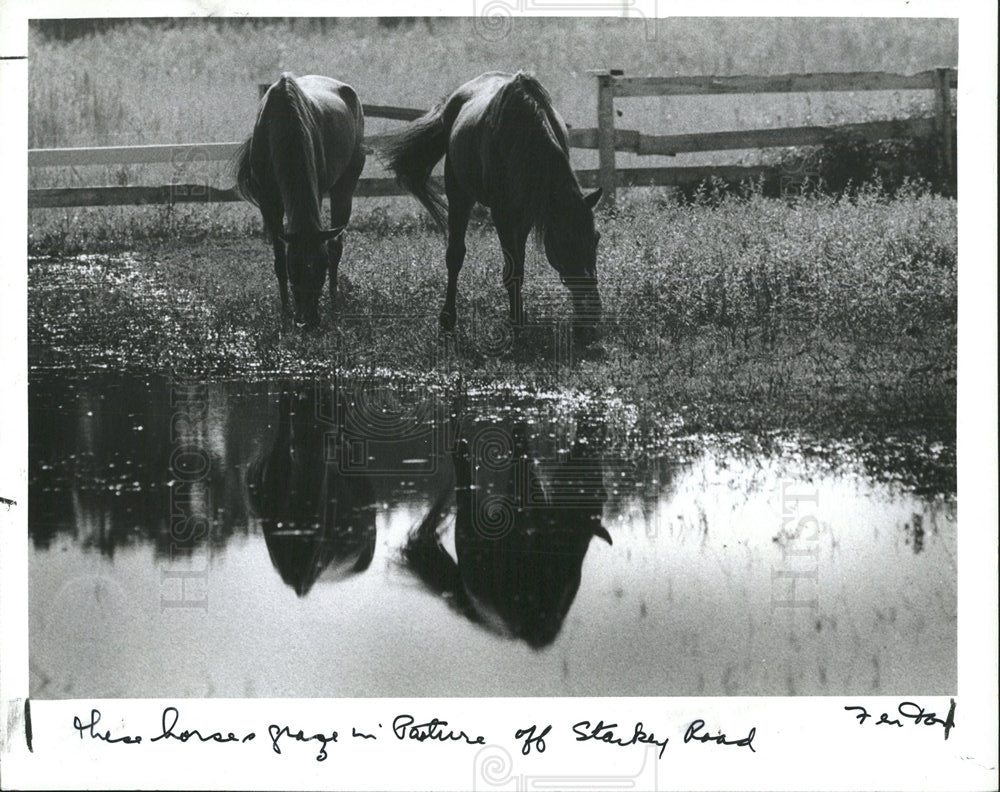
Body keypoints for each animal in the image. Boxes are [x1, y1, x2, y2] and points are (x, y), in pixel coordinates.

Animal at [232, 72, 366, 330]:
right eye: (294, 268)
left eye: (322, 268)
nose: (310, 321)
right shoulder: (269, 202)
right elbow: (278, 260)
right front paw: (285, 314)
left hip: (344, 186)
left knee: (336, 246)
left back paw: (334, 303)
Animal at [380, 69, 600, 338]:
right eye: (566, 242)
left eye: (596, 238)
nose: (591, 319)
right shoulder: (502, 214)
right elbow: (511, 270)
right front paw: (516, 326)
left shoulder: (525, 213)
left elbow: (519, 265)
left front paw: (520, 317)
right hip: (459, 195)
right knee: (455, 255)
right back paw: (447, 319)